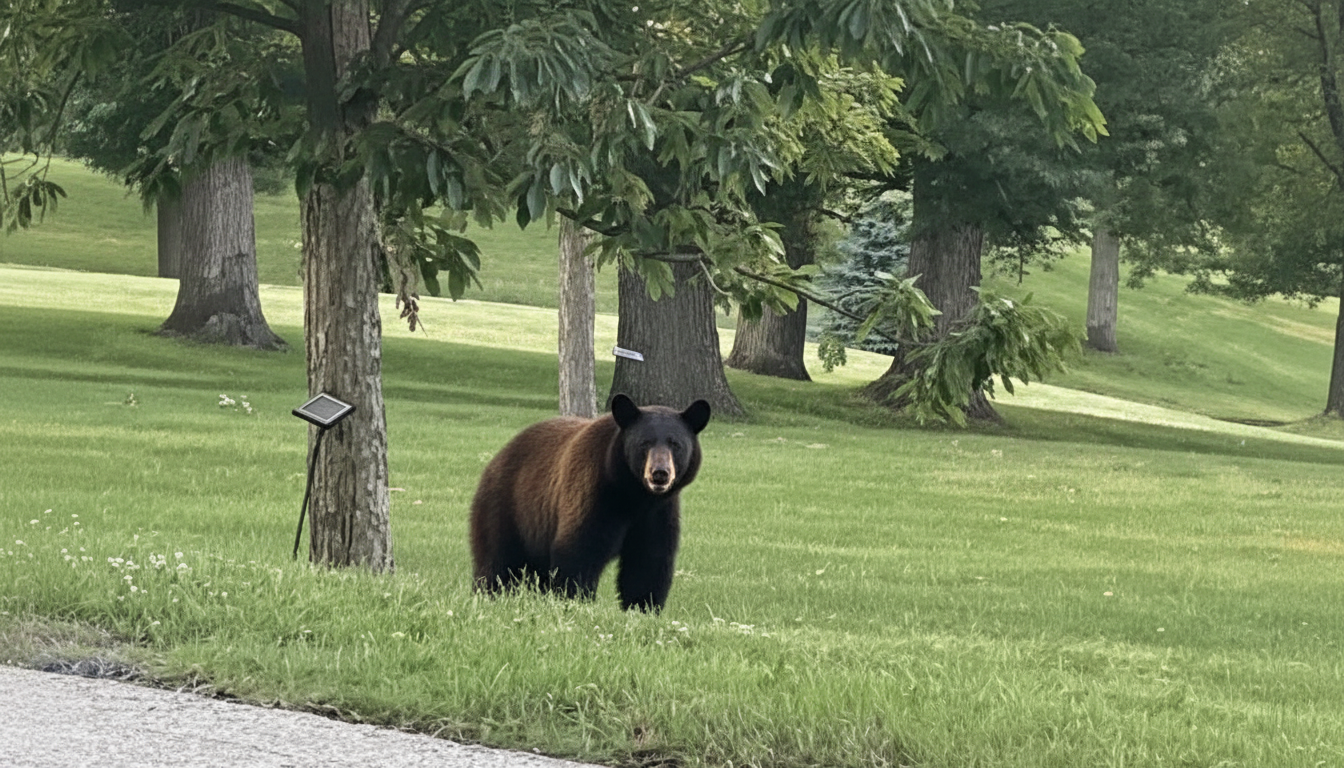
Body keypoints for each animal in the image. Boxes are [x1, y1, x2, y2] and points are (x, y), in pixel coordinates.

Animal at [469, 393, 711, 611]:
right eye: (645, 443)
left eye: (675, 444)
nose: (659, 473)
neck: (634, 495)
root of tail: (496, 458)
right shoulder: (594, 493)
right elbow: (580, 549)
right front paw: (576, 600)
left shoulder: (659, 513)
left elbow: (648, 561)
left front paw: (642, 607)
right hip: (506, 508)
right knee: (496, 561)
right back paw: (488, 594)